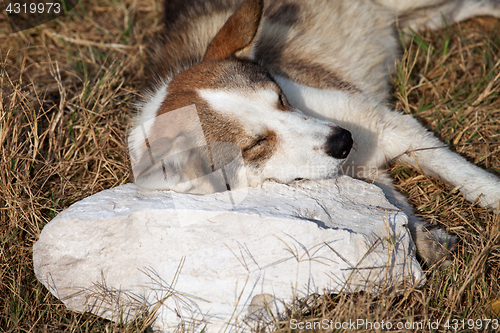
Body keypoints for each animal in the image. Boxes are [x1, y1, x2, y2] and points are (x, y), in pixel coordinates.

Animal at [128, 0, 500, 264]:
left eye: (280, 98)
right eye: (255, 144)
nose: (344, 141)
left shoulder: (393, 127)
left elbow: (472, 180)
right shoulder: (373, 177)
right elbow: (398, 214)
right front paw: (428, 242)